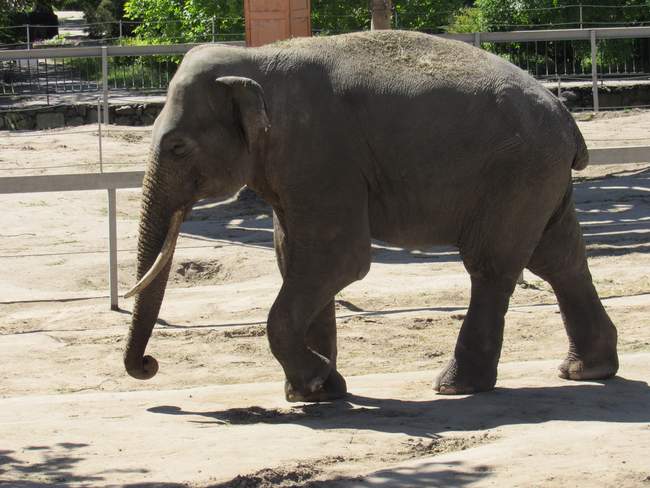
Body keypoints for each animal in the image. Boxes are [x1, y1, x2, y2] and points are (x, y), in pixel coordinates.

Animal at [123, 31, 616, 404]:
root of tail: (565, 113)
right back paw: (587, 371)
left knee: (492, 266)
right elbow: (295, 259)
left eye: (177, 147)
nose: (148, 364)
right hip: (539, 175)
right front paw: (319, 391)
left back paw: (456, 387)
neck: (256, 60)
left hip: (518, 173)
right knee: (559, 260)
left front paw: (313, 382)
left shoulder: (320, 151)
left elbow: (339, 259)